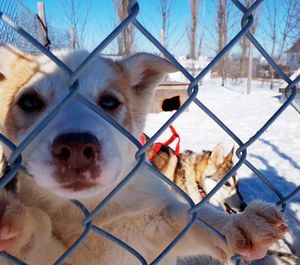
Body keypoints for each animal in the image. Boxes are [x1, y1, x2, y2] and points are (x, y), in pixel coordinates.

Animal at [0, 44, 288, 262]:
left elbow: (195, 217)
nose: (76, 148)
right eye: (29, 102)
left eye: (109, 102)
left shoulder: (156, 221)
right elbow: (41, 229)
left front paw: (237, 223)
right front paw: (18, 224)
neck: (92, 206)